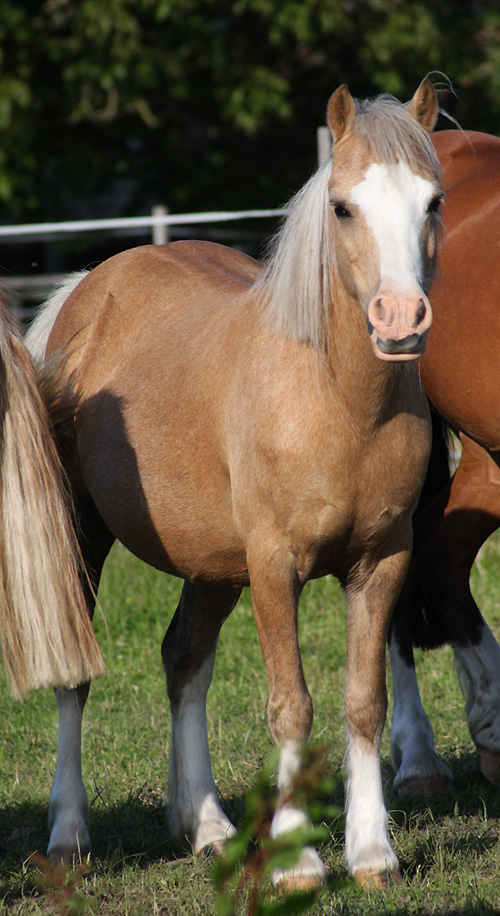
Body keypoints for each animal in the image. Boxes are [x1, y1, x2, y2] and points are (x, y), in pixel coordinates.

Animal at [26, 80, 442, 889]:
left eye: (433, 201)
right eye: (343, 207)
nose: (400, 318)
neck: (339, 401)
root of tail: (87, 293)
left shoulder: (382, 561)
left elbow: (363, 701)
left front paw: (372, 852)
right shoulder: (275, 566)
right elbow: (291, 706)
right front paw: (297, 859)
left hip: (211, 563)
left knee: (184, 660)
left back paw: (210, 827)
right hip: (84, 535)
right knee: (74, 678)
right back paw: (68, 837)